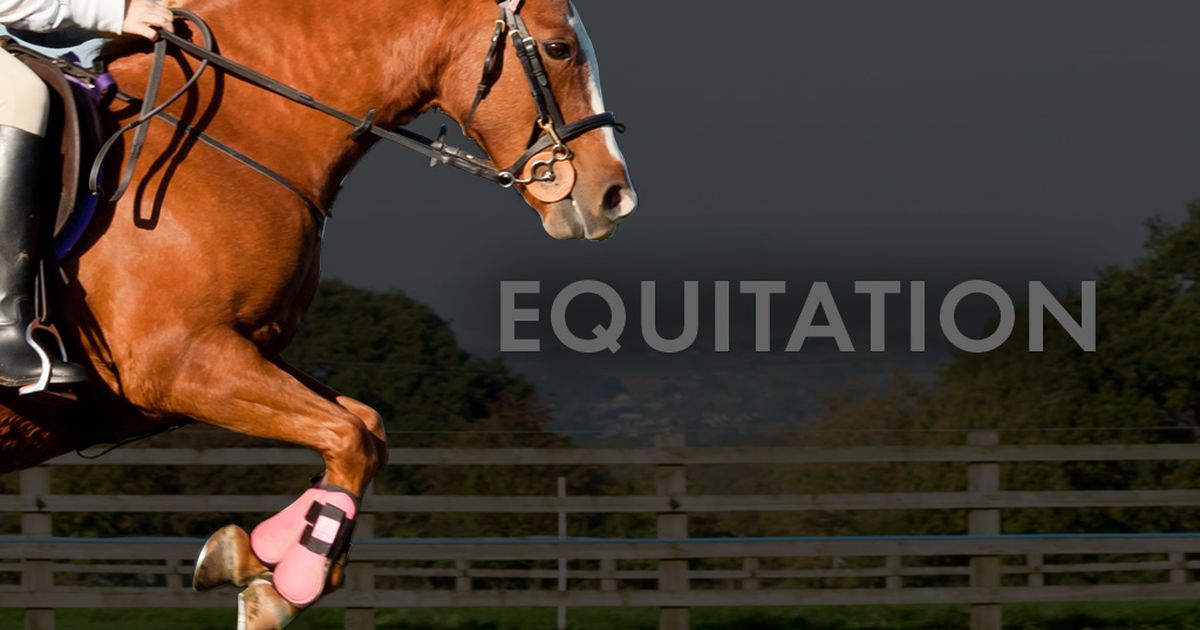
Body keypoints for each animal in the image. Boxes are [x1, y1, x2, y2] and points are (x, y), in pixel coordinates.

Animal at [0, 0, 635, 626]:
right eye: (558, 48)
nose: (615, 197)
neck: (233, 134)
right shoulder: (174, 363)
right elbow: (349, 438)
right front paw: (283, 586)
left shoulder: (243, 348)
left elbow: (365, 428)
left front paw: (257, 560)